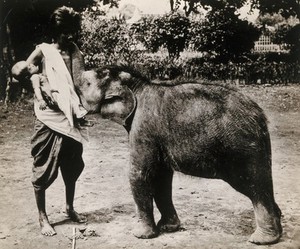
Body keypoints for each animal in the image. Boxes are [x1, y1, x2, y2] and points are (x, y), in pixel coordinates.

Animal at [77, 64, 282, 245]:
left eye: (86, 84)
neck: (138, 85)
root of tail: (260, 116)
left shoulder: (143, 127)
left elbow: (139, 174)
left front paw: (140, 236)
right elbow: (162, 177)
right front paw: (169, 228)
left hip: (241, 148)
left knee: (254, 186)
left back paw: (262, 240)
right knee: (262, 184)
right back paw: (277, 230)